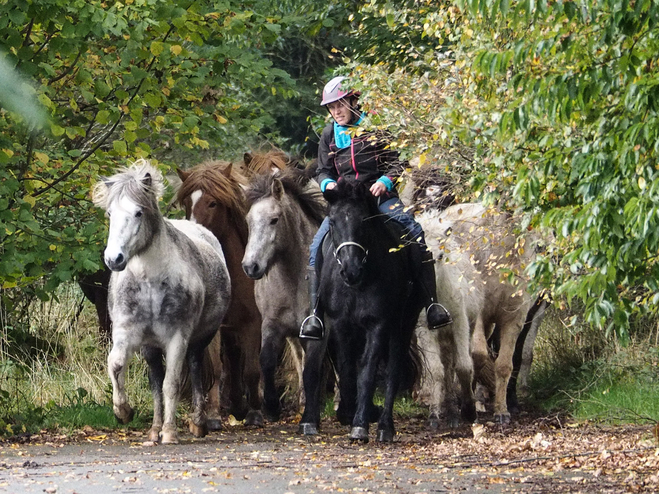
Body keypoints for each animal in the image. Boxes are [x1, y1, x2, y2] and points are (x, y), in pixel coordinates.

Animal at [92, 161, 232, 444]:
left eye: (138, 213)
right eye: (110, 213)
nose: (114, 259)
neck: (149, 283)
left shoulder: (177, 337)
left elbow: (172, 383)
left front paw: (170, 432)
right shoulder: (126, 333)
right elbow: (117, 365)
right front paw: (124, 412)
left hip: (199, 339)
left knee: (195, 368)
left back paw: (197, 423)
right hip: (151, 347)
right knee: (155, 379)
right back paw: (154, 429)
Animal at [179, 160, 266, 426]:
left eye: (213, 202)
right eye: (187, 203)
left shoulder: (253, 323)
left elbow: (253, 370)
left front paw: (255, 412)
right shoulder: (214, 326)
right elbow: (219, 368)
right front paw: (214, 415)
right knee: (232, 360)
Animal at [240, 168, 328, 422]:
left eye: (274, 219)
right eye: (248, 221)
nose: (250, 267)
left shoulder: (318, 329)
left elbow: (313, 368)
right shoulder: (273, 324)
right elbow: (267, 360)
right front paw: (271, 406)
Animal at [318, 179, 422, 442]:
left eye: (364, 220)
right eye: (332, 221)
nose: (350, 270)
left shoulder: (378, 324)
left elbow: (367, 371)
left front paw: (360, 424)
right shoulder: (341, 324)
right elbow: (347, 369)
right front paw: (348, 413)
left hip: (402, 325)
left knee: (393, 369)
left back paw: (386, 427)